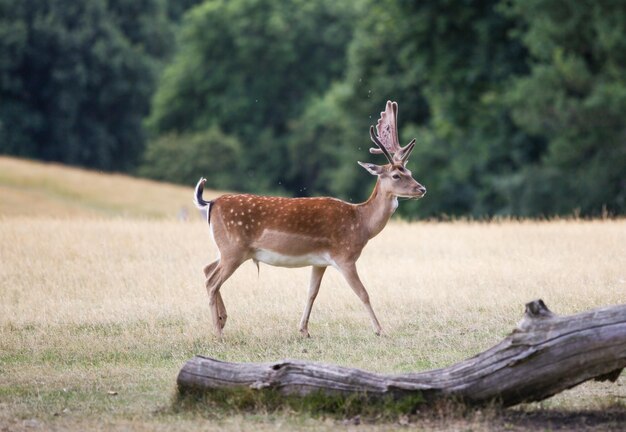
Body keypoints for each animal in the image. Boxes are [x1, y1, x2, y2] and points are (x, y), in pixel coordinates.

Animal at [191, 100, 424, 338]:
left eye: (410, 172)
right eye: (396, 175)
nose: (421, 189)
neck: (361, 224)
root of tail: (211, 203)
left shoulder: (319, 262)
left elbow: (312, 292)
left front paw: (303, 330)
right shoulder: (344, 256)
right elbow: (363, 293)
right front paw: (380, 330)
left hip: (227, 249)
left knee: (207, 270)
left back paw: (223, 320)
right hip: (234, 249)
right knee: (212, 282)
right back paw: (218, 333)